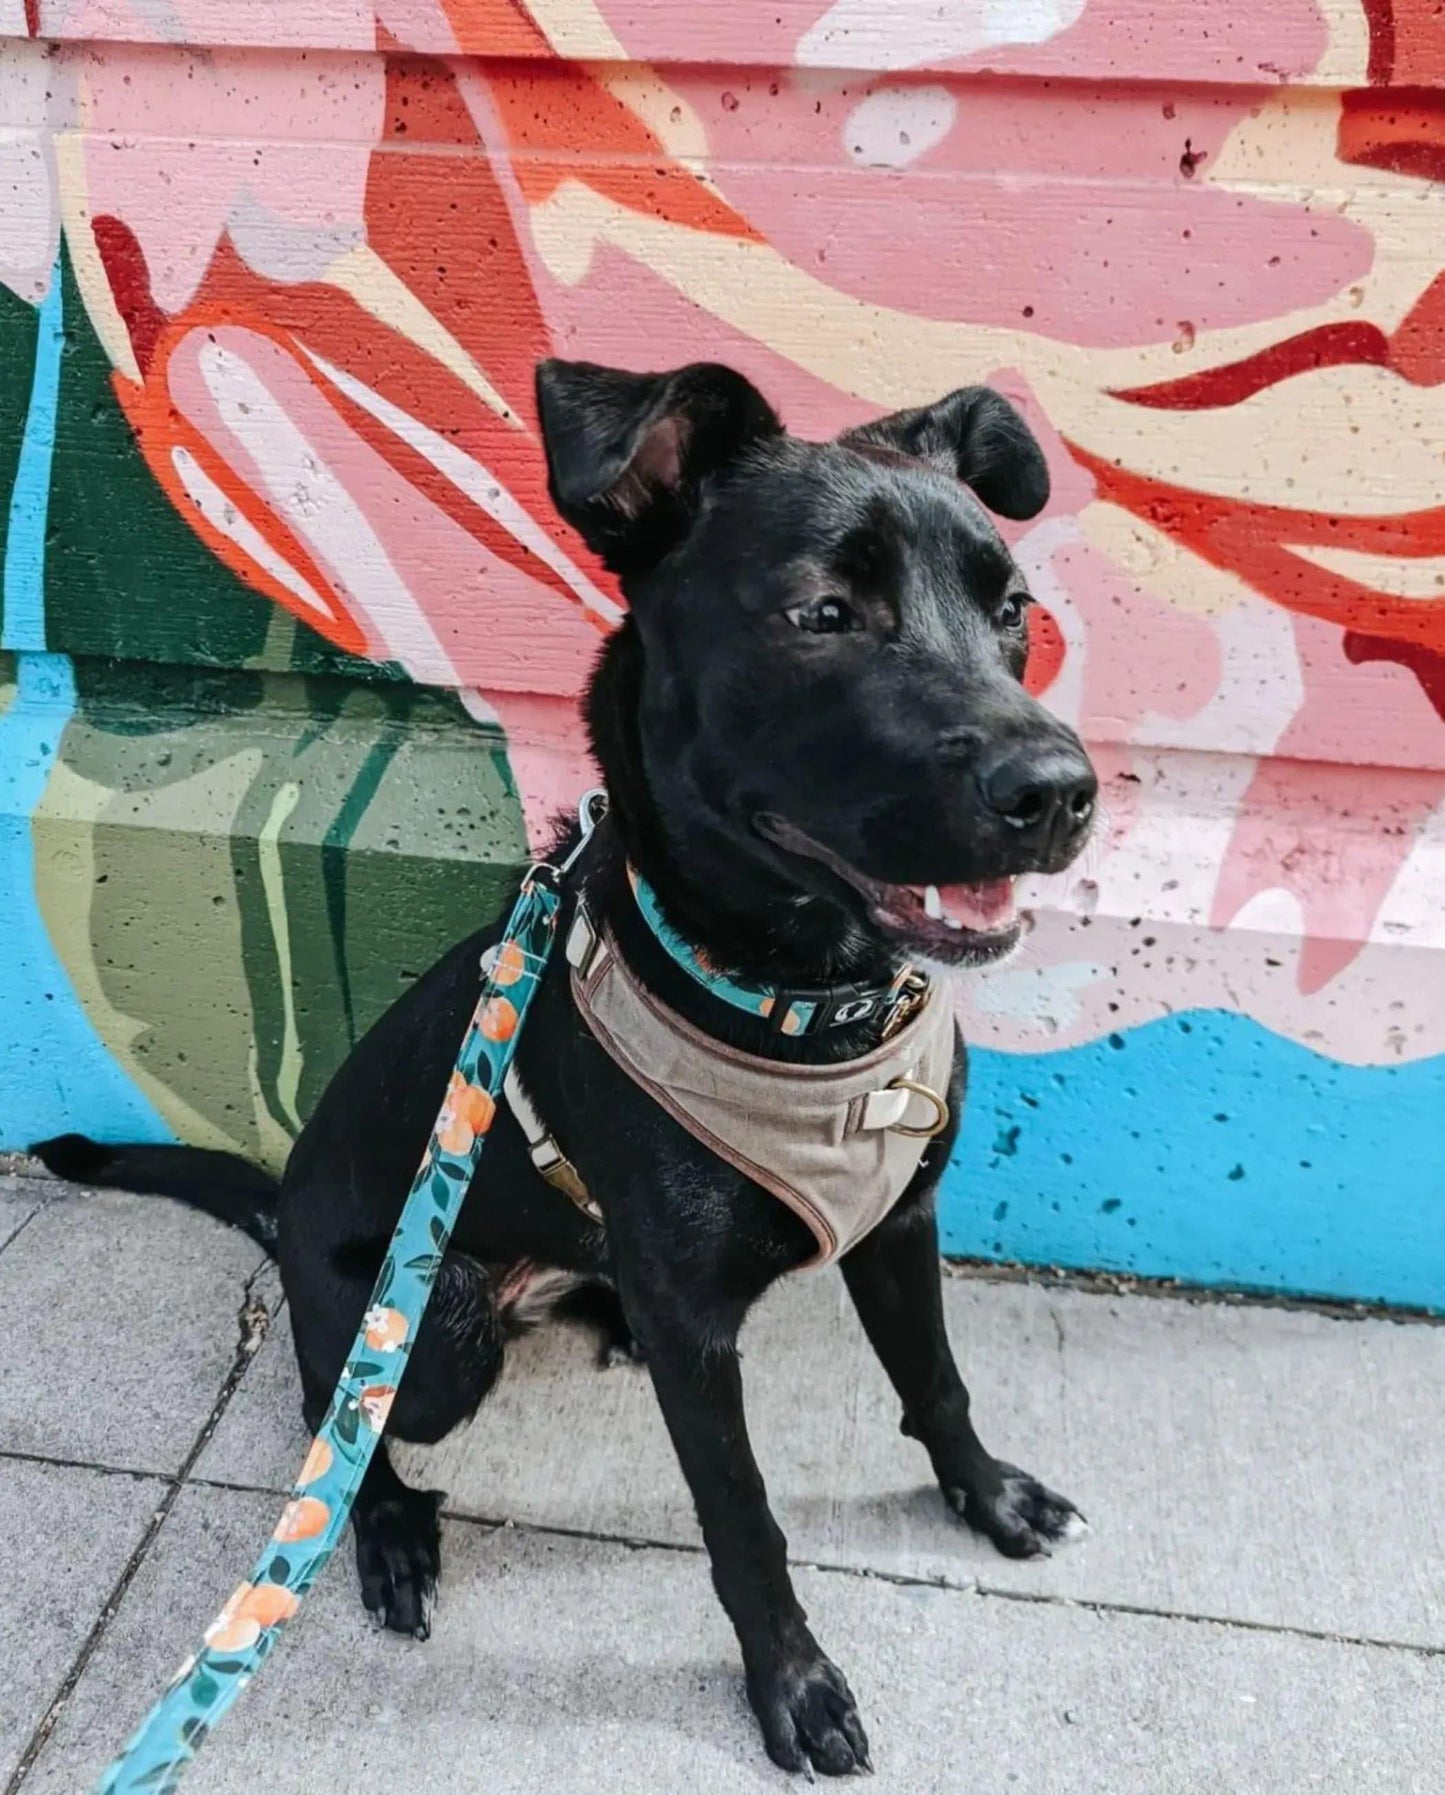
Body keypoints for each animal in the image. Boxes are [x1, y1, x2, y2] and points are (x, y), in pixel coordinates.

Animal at [37, 357, 1098, 1777]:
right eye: (821, 612)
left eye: (1011, 611)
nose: (1058, 790)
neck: (803, 1006)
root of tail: (286, 1207)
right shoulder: (702, 1334)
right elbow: (742, 1519)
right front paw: (794, 1685)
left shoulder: (896, 1222)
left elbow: (936, 1378)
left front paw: (988, 1497)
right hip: (432, 1339)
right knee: (336, 1408)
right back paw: (383, 1524)